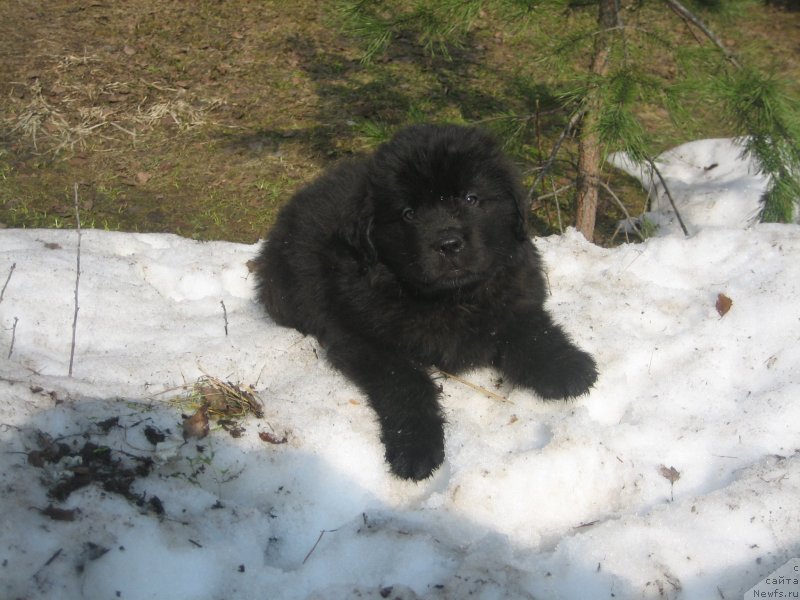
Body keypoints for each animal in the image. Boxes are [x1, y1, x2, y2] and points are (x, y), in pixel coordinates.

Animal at [253, 124, 596, 480]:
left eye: (471, 198)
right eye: (408, 213)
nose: (448, 244)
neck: (451, 297)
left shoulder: (516, 294)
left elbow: (533, 331)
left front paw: (568, 366)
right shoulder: (365, 340)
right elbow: (408, 383)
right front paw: (415, 448)